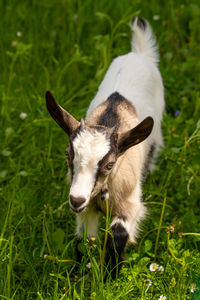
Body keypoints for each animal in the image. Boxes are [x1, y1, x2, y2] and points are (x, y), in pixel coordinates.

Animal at [46, 17, 165, 278]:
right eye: (68, 154)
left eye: (110, 164)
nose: (76, 199)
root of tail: (139, 53)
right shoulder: (86, 211)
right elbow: (84, 241)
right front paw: (80, 274)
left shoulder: (130, 206)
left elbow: (118, 235)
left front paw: (111, 275)